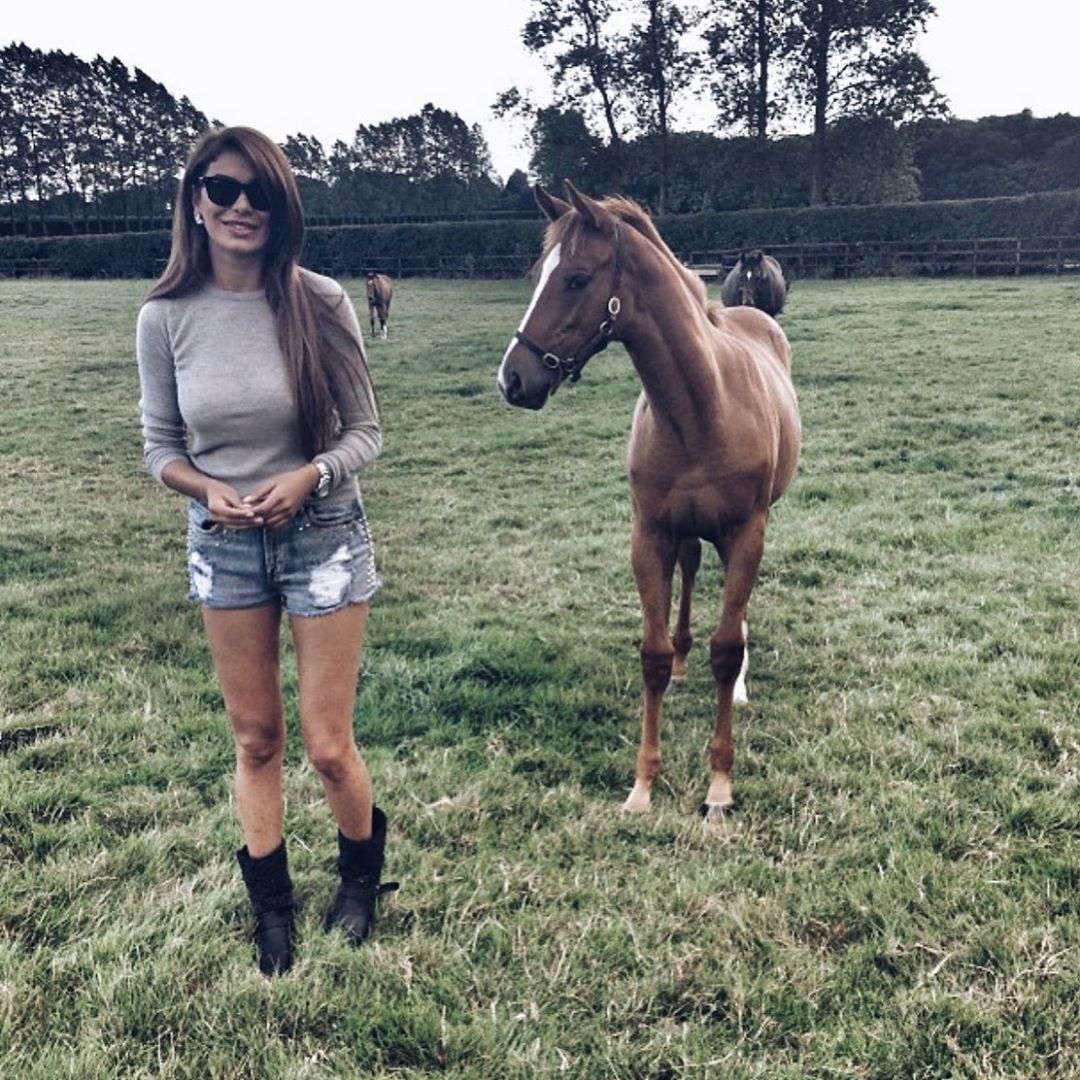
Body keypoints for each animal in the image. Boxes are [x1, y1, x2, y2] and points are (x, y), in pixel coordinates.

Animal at [497, 181, 801, 820]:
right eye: (539, 273)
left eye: (577, 278)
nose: (512, 379)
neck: (703, 406)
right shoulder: (650, 534)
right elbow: (653, 656)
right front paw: (642, 785)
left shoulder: (747, 531)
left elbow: (726, 648)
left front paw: (718, 787)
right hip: (683, 531)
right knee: (689, 571)